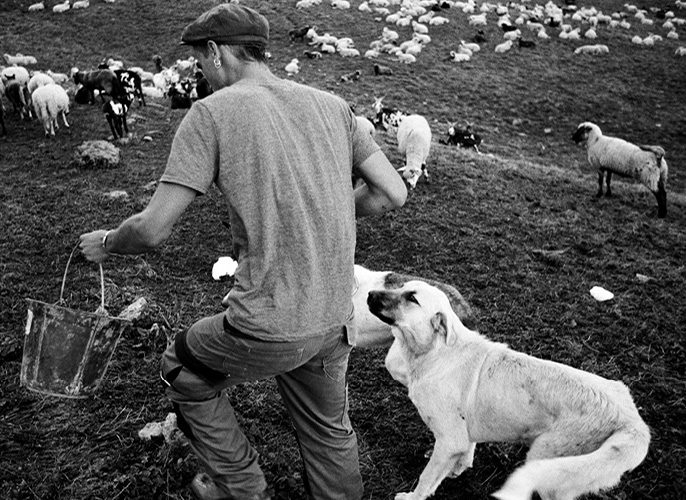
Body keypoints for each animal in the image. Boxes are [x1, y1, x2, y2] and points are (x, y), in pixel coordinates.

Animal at [368, 282, 652, 500]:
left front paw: (412, 497)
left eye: (412, 298)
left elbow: (427, 477)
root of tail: (633, 423)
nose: (369, 294)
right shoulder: (462, 436)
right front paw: (457, 470)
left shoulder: (449, 440)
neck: (438, 352)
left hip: (546, 461)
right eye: (400, 287)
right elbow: (463, 457)